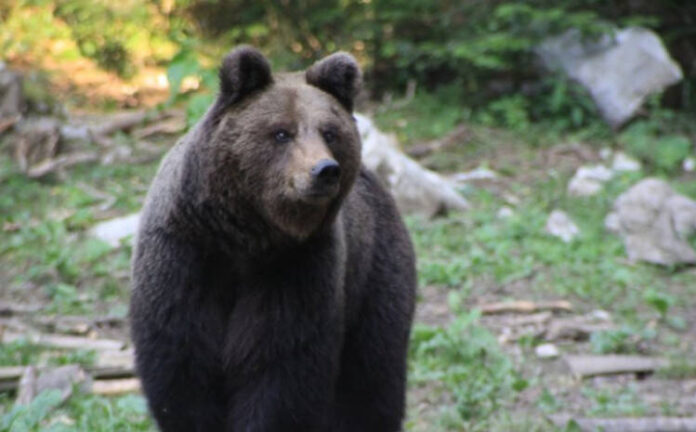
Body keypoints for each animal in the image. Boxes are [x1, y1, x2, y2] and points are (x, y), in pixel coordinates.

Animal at [129, 47, 414, 432]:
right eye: (281, 132)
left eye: (330, 132)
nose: (324, 170)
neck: (246, 235)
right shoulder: (183, 258)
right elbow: (183, 373)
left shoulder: (297, 269)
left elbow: (278, 370)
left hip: (374, 276)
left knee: (371, 378)